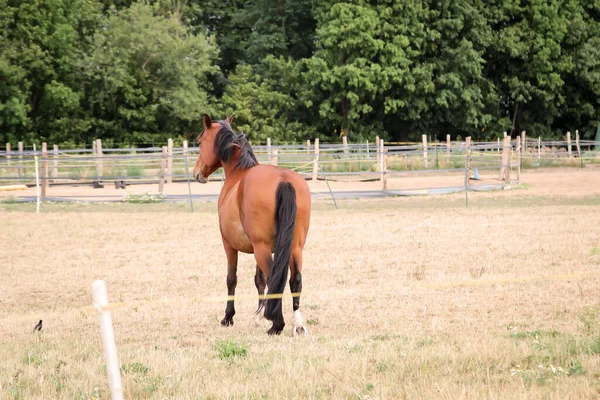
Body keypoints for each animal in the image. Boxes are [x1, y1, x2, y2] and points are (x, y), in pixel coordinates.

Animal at [195, 114, 312, 336]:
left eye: (199, 141)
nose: (197, 173)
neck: (238, 175)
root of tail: (283, 179)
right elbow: (260, 281)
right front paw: (259, 316)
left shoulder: (229, 245)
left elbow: (232, 279)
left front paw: (228, 317)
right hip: (295, 248)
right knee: (295, 280)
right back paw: (297, 325)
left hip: (262, 248)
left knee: (276, 277)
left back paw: (277, 324)